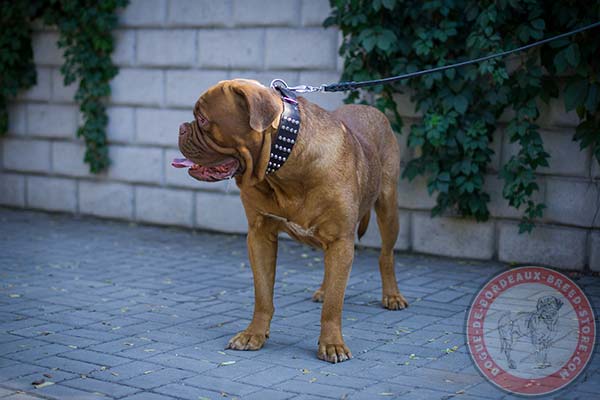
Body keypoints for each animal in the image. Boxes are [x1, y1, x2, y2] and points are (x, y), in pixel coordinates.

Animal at [173, 79, 408, 362]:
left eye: (203, 119)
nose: (181, 127)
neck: (284, 163)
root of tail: (370, 109)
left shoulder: (340, 239)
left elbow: (334, 304)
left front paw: (332, 344)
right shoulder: (260, 235)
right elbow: (263, 294)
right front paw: (253, 334)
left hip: (388, 207)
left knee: (386, 256)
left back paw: (392, 295)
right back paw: (323, 290)